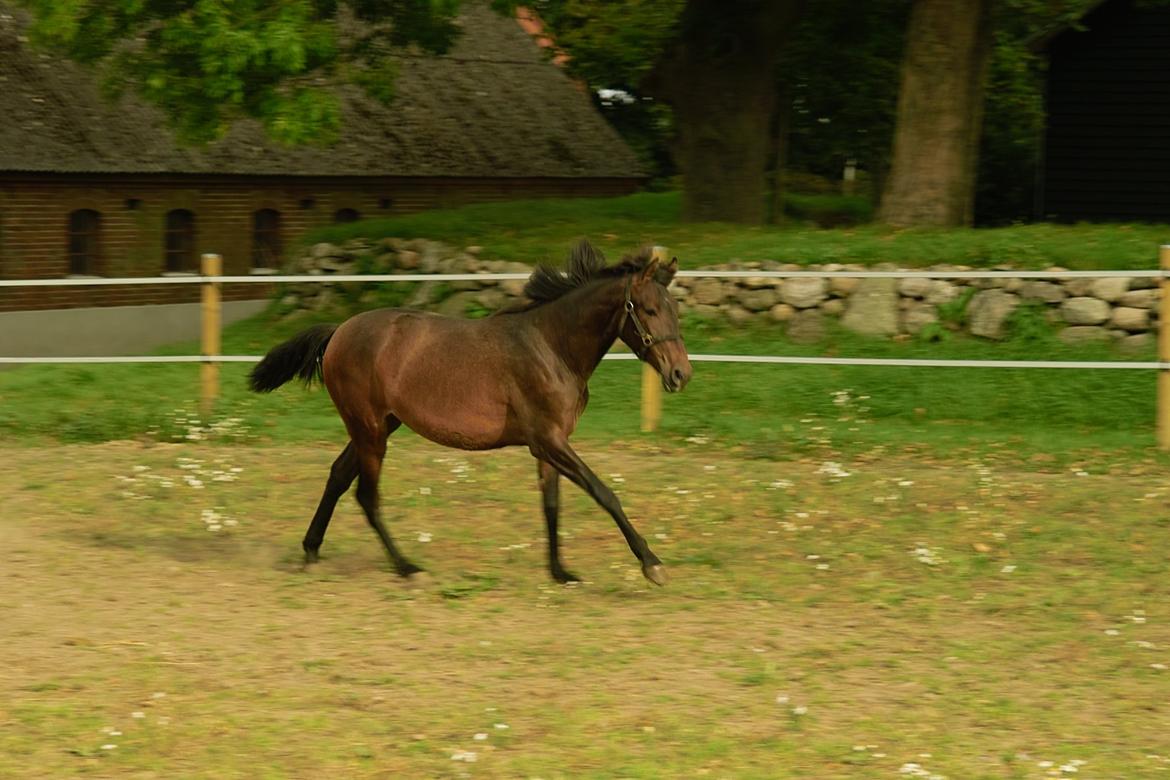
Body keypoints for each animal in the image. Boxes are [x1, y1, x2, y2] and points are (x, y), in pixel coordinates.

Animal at [244, 242, 683, 584]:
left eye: (674, 309)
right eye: (647, 309)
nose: (681, 374)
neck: (551, 346)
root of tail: (338, 332)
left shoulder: (550, 444)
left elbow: (552, 505)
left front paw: (560, 572)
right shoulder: (547, 440)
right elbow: (604, 492)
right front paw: (653, 564)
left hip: (378, 426)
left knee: (337, 476)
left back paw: (311, 552)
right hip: (369, 429)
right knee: (366, 495)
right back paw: (406, 567)